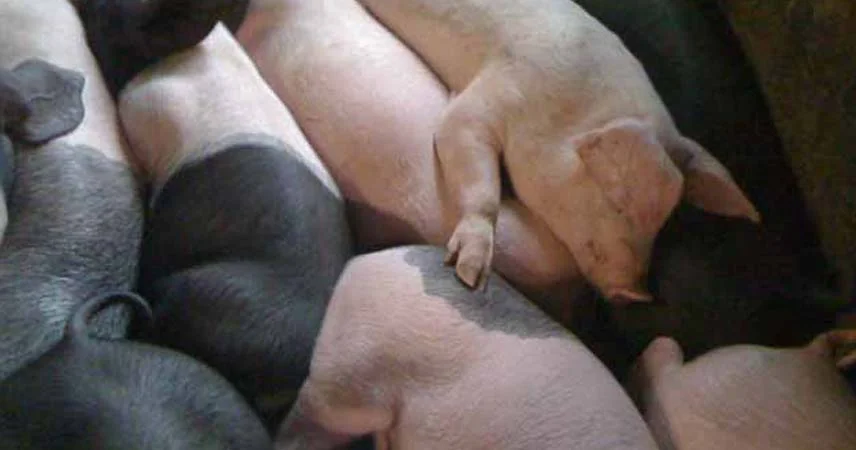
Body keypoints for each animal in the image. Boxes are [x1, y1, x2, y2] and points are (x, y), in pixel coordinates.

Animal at [356, 0, 760, 300]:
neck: (570, 112)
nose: (638, 294)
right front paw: (469, 277)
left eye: (665, 220)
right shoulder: (493, 96)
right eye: (620, 201)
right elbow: (467, 155)